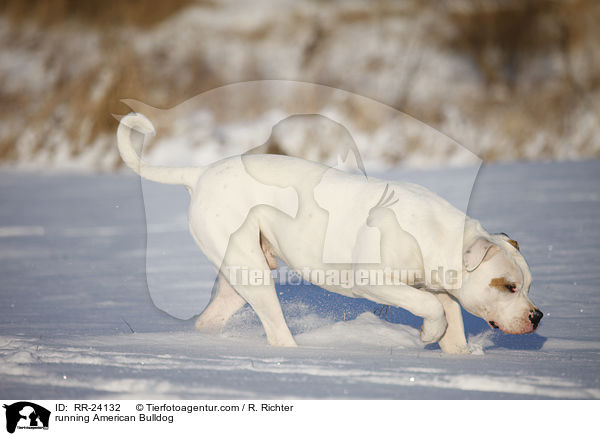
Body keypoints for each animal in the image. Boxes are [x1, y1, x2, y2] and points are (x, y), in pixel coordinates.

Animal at [115, 113, 540, 354]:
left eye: (528, 285)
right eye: (508, 286)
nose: (537, 316)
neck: (434, 233)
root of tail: (200, 173)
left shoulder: (438, 285)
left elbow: (449, 315)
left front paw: (455, 353)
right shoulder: (376, 282)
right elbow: (431, 307)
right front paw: (427, 335)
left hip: (239, 274)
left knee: (213, 318)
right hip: (251, 272)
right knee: (276, 330)